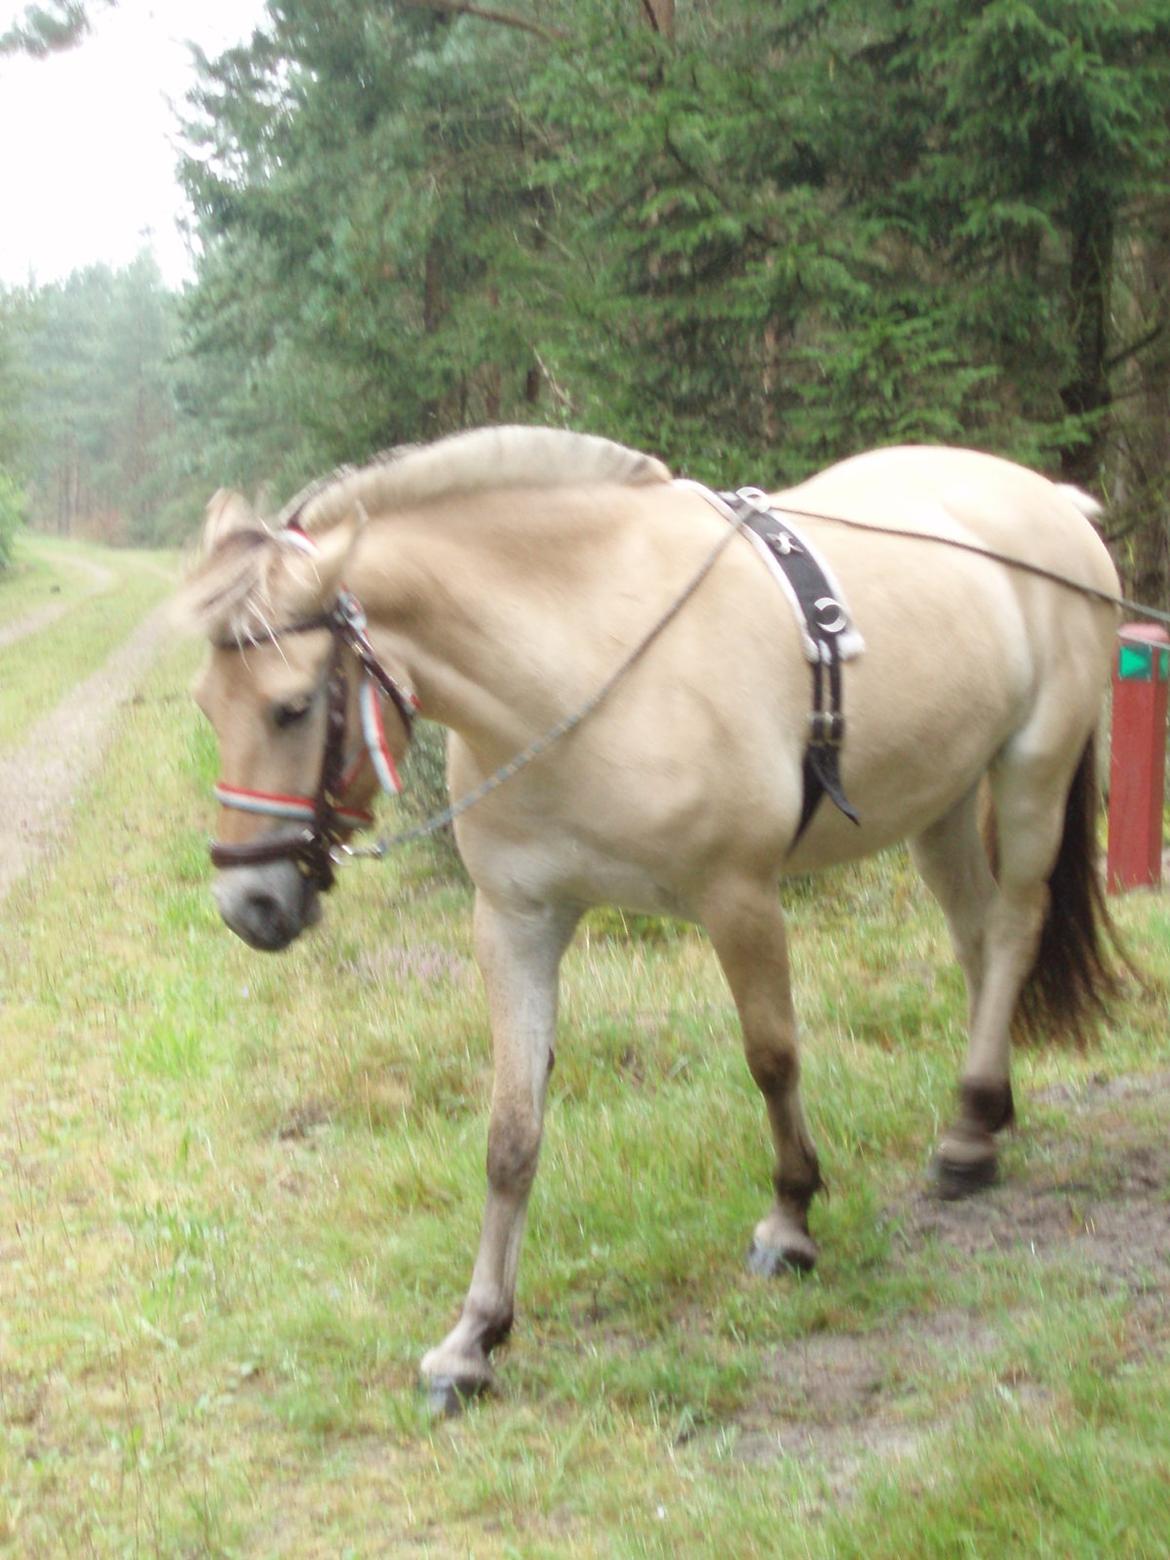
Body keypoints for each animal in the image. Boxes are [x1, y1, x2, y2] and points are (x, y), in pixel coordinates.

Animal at [180, 430, 1129, 1416]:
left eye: (292, 706)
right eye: (208, 703)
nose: (250, 907)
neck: (581, 658)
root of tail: (1053, 500)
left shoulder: (739, 897)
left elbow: (772, 1059)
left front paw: (790, 1221)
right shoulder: (517, 921)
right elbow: (510, 1133)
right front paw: (474, 1339)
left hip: (1031, 770)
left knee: (1013, 927)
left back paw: (972, 1127)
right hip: (938, 803)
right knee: (977, 938)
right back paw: (982, 1119)